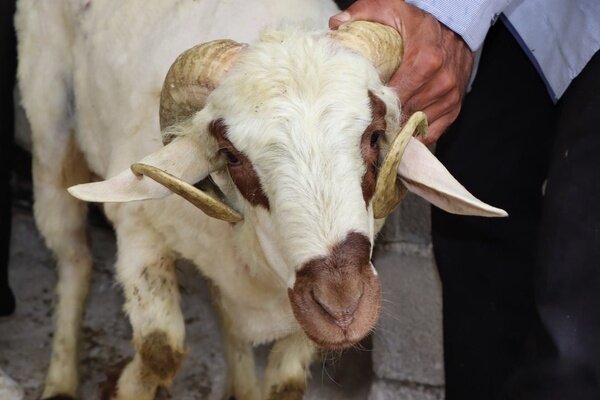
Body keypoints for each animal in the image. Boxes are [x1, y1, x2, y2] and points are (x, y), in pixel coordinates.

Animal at [15, 1, 506, 398]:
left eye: (374, 136)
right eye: (231, 155)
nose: (343, 307)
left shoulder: (304, 308)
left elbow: (285, 383)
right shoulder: (139, 229)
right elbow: (161, 351)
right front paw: (124, 386)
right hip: (49, 113)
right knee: (74, 257)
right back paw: (60, 382)